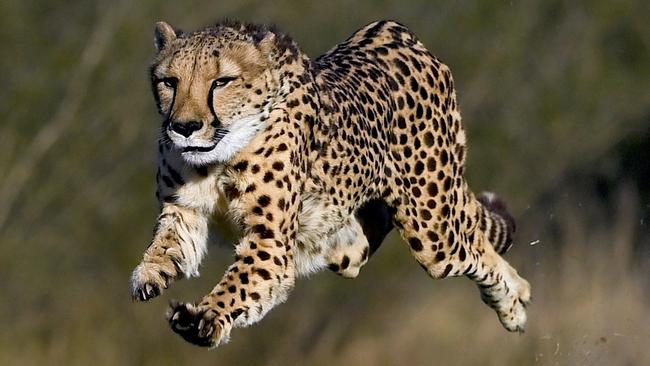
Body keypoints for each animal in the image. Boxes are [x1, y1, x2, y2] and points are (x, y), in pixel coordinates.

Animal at [129, 20, 528, 348]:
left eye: (221, 82)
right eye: (169, 82)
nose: (184, 127)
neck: (219, 156)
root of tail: (394, 30)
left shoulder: (270, 241)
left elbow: (239, 283)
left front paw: (205, 318)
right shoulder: (185, 209)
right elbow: (169, 242)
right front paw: (151, 272)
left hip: (433, 230)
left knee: (475, 246)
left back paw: (515, 304)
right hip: (345, 244)